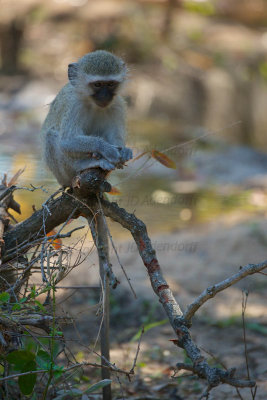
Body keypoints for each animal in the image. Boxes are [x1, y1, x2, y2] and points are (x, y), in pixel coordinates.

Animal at [42, 50, 133, 188]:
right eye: (98, 84)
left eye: (110, 84)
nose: (105, 96)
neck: (92, 103)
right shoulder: (74, 105)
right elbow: (67, 141)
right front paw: (106, 149)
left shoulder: (118, 105)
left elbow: (116, 137)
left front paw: (124, 152)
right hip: (64, 177)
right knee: (51, 135)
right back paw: (84, 164)